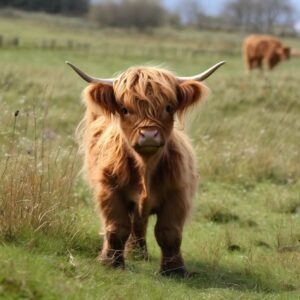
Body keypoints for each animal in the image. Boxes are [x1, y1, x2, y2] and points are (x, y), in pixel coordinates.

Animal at [67, 60, 224, 276]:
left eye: (168, 107)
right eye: (125, 109)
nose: (149, 135)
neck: (146, 168)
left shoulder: (178, 193)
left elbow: (169, 232)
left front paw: (174, 270)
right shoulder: (109, 190)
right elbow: (117, 227)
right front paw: (111, 262)